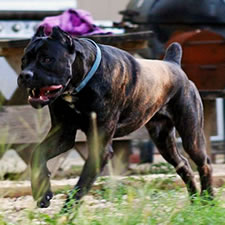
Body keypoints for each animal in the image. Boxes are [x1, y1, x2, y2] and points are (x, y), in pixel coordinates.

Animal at [17, 26, 213, 209]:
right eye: (24, 60)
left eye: (46, 59)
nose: (24, 75)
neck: (80, 84)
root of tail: (173, 64)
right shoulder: (63, 135)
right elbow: (37, 154)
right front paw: (42, 192)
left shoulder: (99, 146)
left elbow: (80, 187)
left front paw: (65, 214)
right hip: (163, 140)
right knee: (184, 165)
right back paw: (194, 201)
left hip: (191, 136)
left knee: (205, 163)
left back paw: (208, 200)